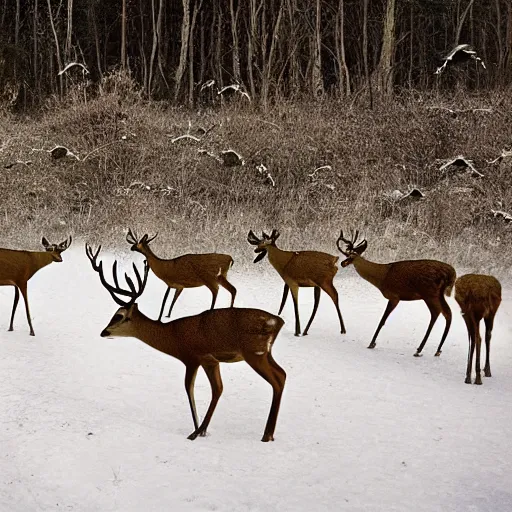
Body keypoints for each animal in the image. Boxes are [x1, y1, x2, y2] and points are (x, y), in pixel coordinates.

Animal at [85, 243, 286, 440]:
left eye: (119, 315)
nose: (104, 332)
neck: (173, 336)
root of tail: (278, 321)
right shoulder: (211, 360)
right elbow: (218, 389)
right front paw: (202, 430)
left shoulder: (193, 357)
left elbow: (190, 389)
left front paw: (195, 431)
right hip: (265, 352)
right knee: (282, 375)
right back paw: (270, 433)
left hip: (254, 352)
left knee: (276, 381)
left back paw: (267, 434)